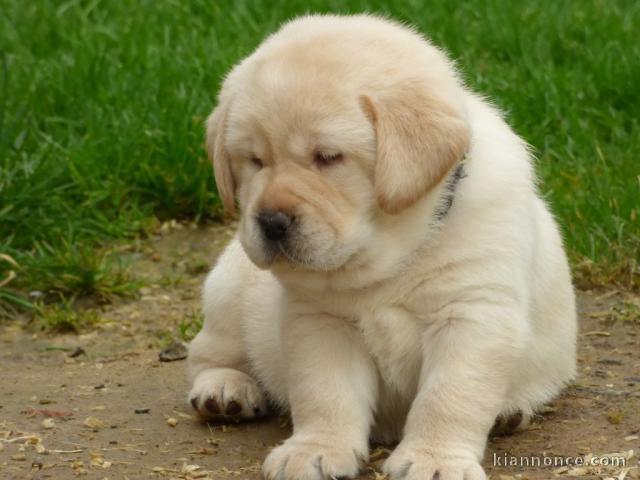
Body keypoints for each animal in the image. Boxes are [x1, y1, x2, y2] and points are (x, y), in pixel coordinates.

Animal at [185, 14, 576, 480]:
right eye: (254, 160)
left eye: (328, 156)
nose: (271, 222)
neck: (393, 255)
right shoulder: (320, 321)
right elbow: (325, 392)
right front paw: (315, 449)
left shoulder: (472, 314)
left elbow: (448, 397)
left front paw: (434, 459)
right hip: (228, 291)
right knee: (208, 354)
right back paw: (224, 389)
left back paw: (508, 412)